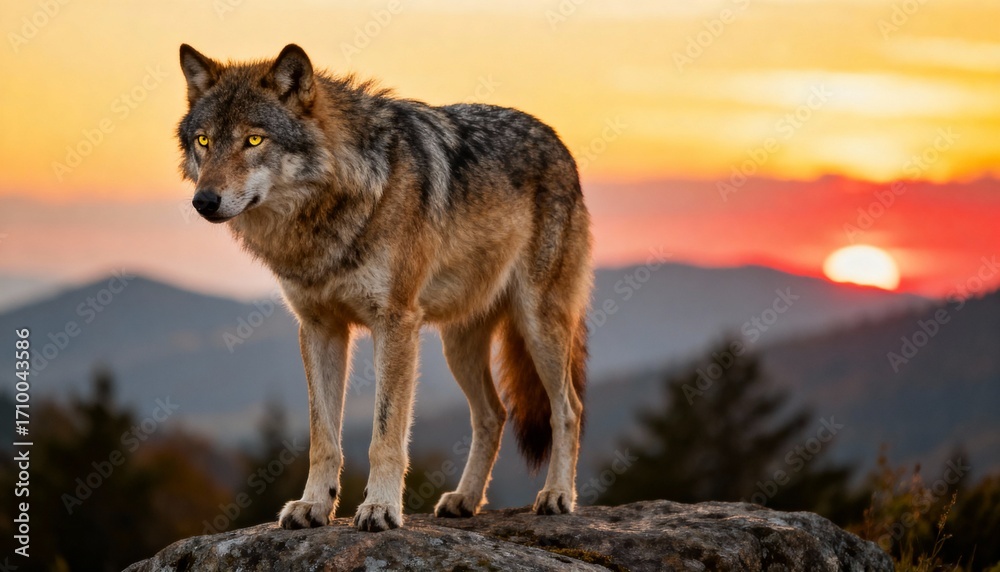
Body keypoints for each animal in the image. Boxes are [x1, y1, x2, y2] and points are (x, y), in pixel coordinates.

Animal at [177, 44, 592, 532]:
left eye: (254, 140)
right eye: (204, 141)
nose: (204, 201)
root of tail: (556, 139)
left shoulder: (394, 323)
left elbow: (385, 434)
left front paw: (380, 508)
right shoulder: (319, 328)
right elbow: (323, 438)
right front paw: (313, 505)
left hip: (538, 325)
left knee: (568, 410)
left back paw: (557, 495)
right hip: (458, 343)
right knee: (493, 414)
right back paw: (465, 499)